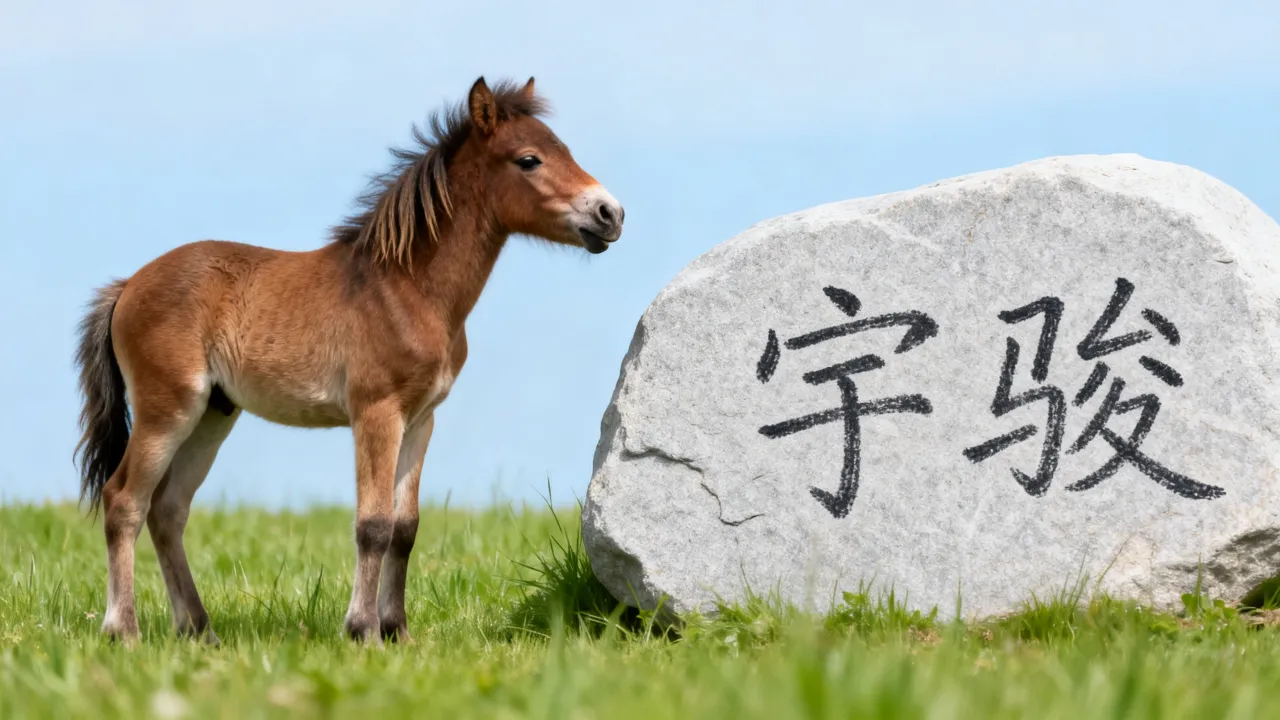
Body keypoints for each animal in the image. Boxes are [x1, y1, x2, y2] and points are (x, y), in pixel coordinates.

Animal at [72, 76, 625, 645]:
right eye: (529, 160)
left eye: (566, 150)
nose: (610, 214)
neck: (406, 289)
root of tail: (127, 286)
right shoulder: (376, 412)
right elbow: (373, 524)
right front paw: (363, 631)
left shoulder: (421, 420)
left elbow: (405, 528)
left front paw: (398, 631)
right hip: (168, 410)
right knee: (124, 501)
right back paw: (124, 631)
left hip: (212, 415)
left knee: (168, 510)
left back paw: (200, 631)